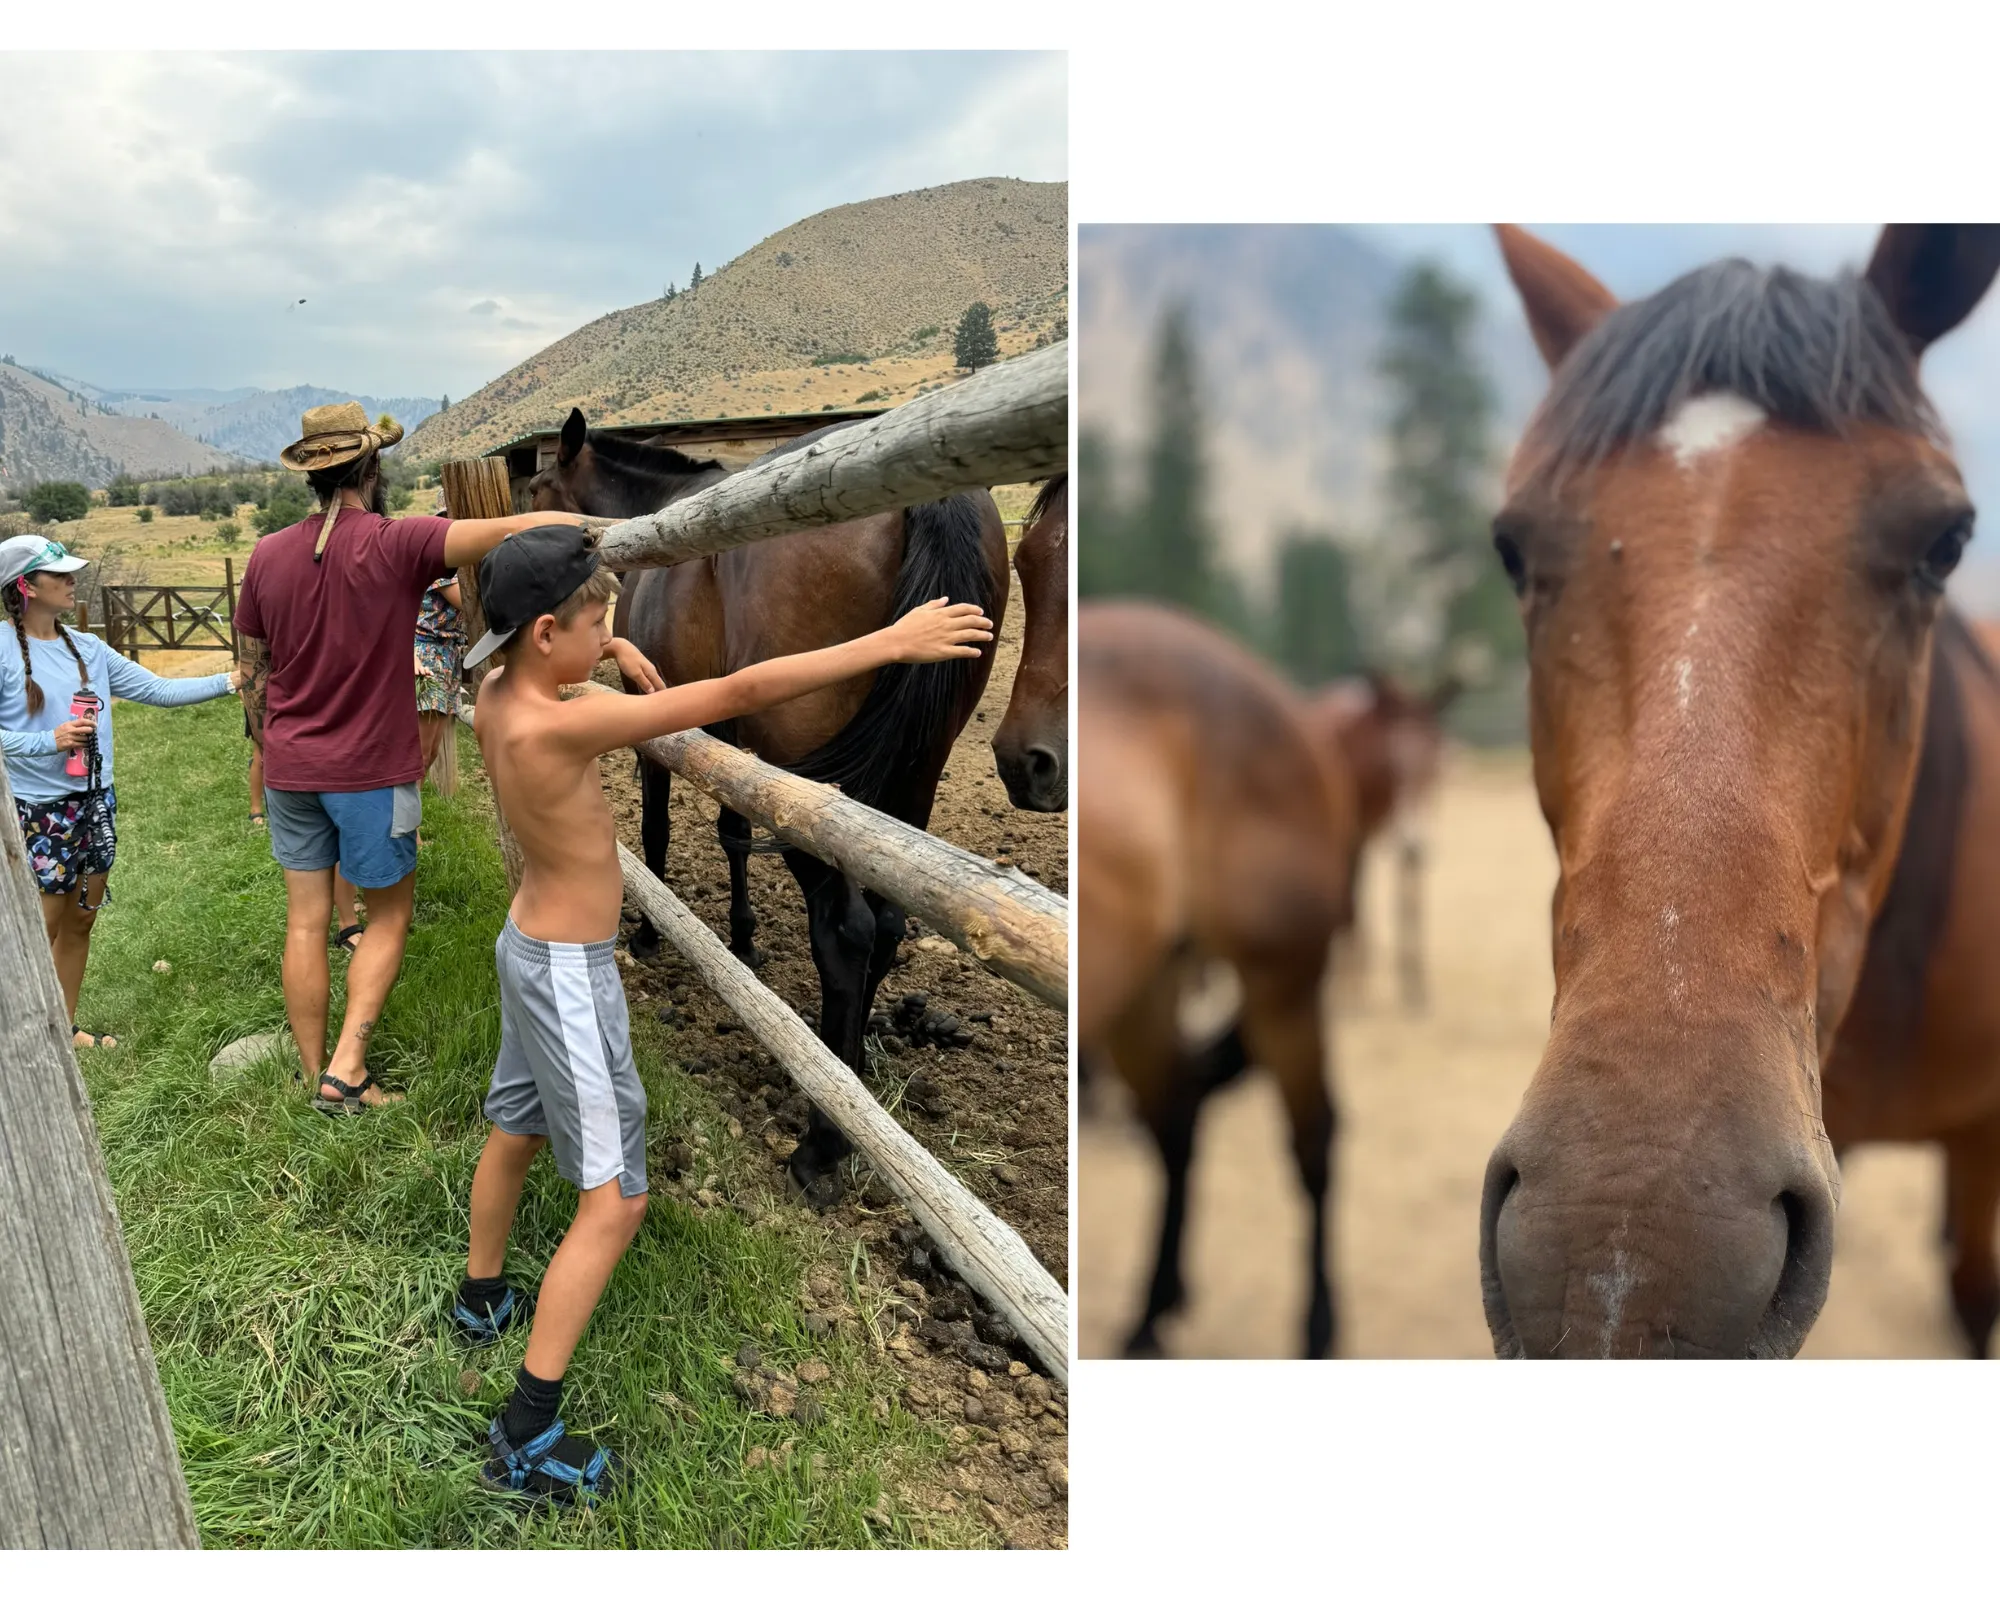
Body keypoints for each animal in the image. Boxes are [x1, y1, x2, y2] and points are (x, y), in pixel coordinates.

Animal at [1078, 600, 1359, 1357]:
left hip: (1283, 984)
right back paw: (1149, 1318)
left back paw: (1318, 1330)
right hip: (1143, 994)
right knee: (1176, 1118)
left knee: (1314, 1137)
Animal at [1302, 672, 1456, 1010]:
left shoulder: (1402, 836)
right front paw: (1346, 989)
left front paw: (1416, 989)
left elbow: (1409, 900)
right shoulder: (1354, 835)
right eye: (1391, 763)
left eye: (1435, 763)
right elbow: (1348, 904)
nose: (1414, 841)